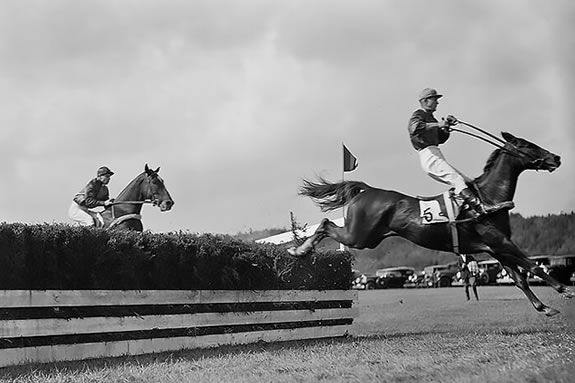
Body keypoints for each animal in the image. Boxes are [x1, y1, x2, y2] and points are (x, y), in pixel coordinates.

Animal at [290, 132, 572, 318]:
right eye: (527, 145)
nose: (556, 157)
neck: (488, 198)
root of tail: (367, 190)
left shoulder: (496, 249)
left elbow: (520, 279)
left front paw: (545, 307)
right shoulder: (501, 242)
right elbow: (533, 265)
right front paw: (565, 289)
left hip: (365, 237)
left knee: (326, 223)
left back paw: (299, 248)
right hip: (360, 236)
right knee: (326, 223)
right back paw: (299, 249)